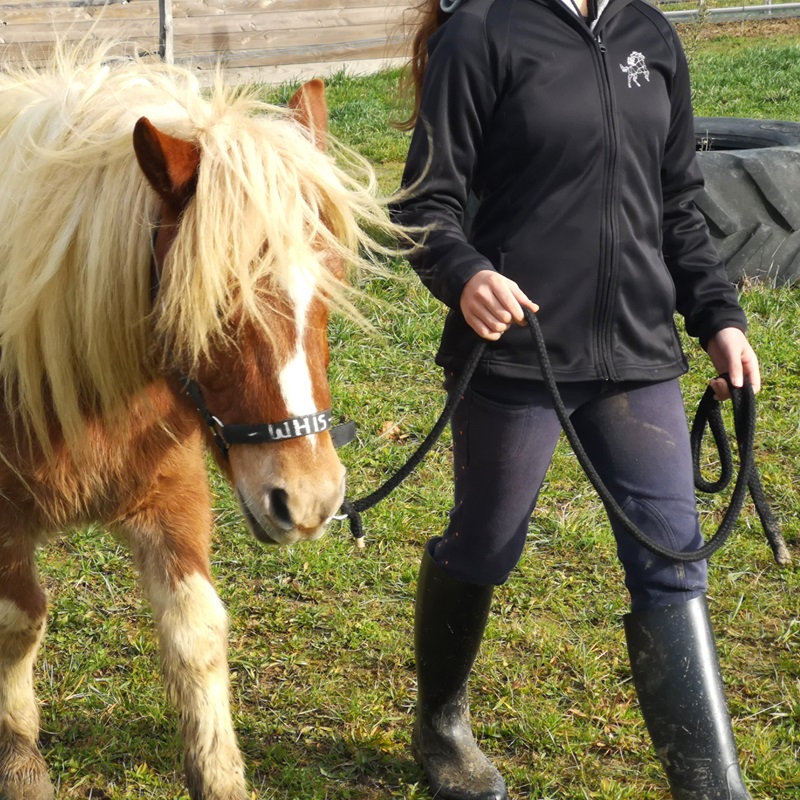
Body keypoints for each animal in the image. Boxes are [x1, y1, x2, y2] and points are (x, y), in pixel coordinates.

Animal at [0, 45, 404, 800]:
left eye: (330, 283)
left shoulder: (174, 495)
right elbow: (19, 624)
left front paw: (218, 772)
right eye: (212, 304)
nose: (309, 500)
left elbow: (197, 631)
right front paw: (18, 757)